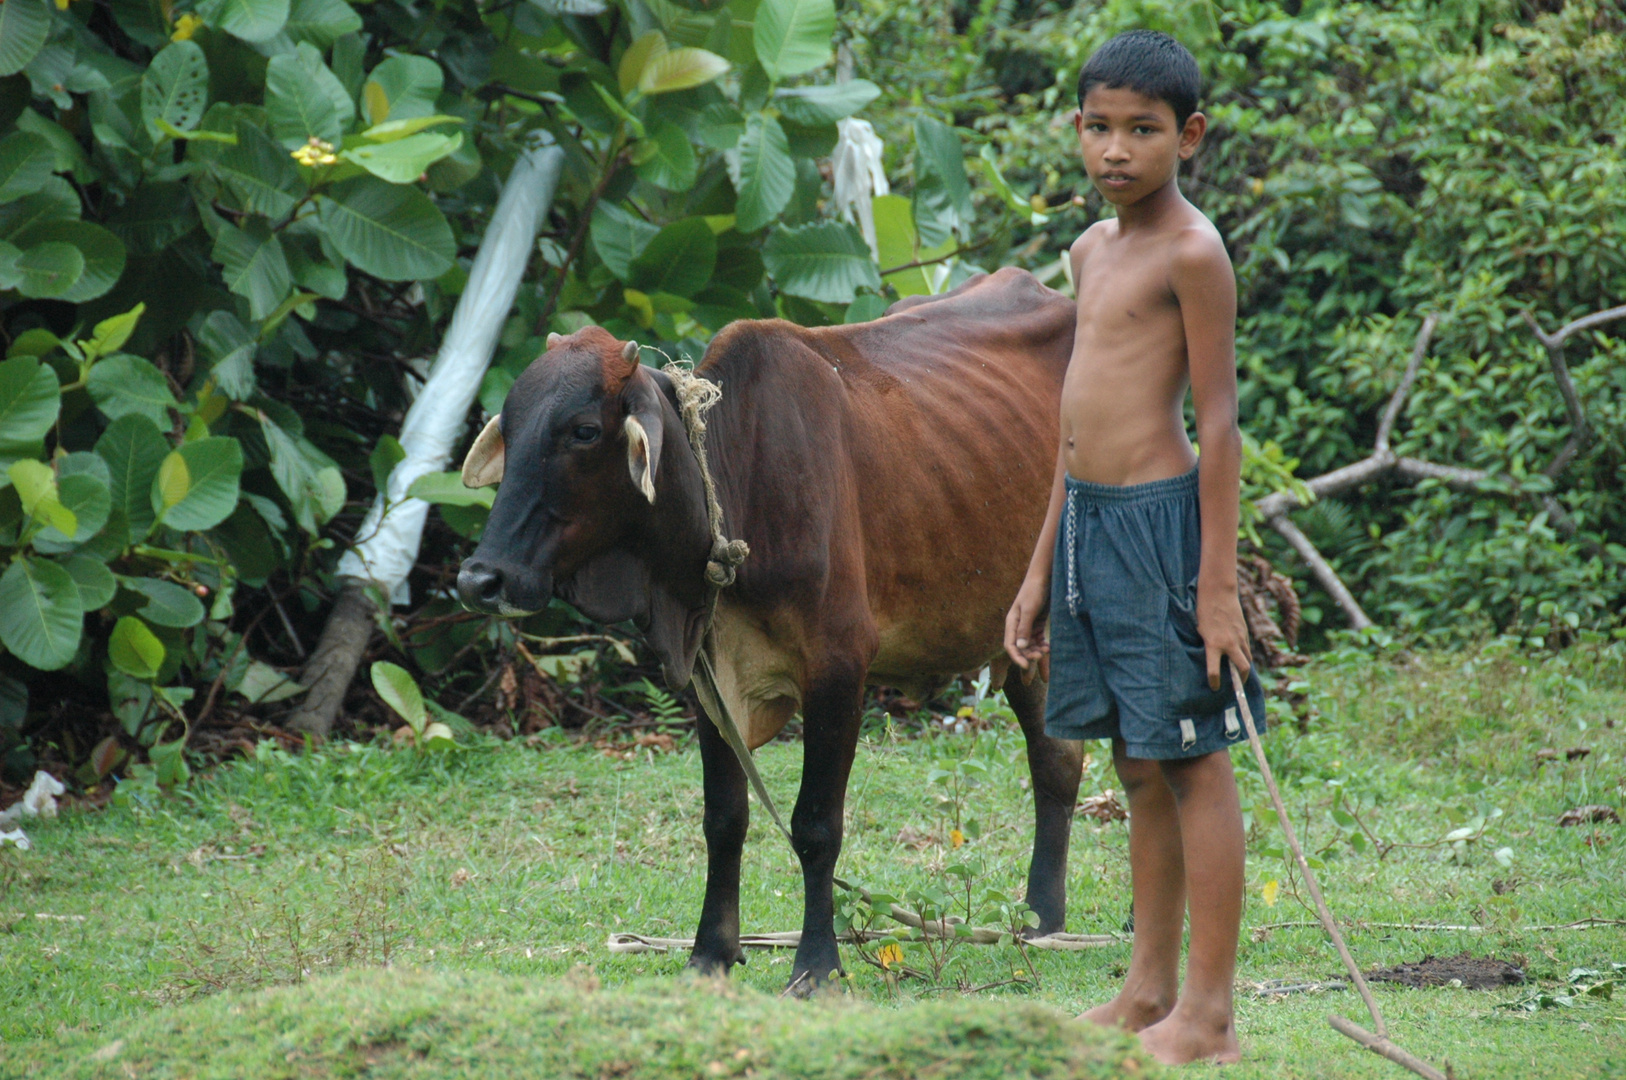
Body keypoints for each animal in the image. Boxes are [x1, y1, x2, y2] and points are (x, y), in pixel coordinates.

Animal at [458, 268, 1086, 988]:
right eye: (511, 426)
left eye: (584, 431)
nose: (480, 580)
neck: (741, 486)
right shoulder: (710, 680)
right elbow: (724, 818)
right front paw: (711, 951)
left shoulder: (839, 667)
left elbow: (815, 825)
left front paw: (815, 965)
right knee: (1054, 759)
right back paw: (1039, 918)